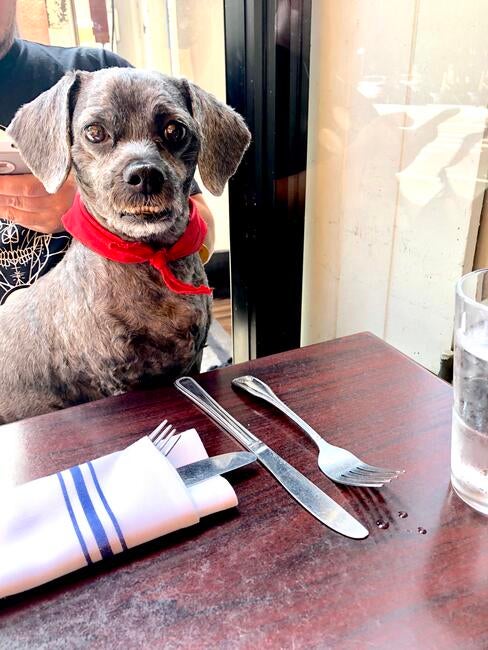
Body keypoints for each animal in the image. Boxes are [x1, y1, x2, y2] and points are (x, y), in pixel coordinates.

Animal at [0, 68, 250, 423]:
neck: (150, 257)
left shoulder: (192, 360)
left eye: (175, 129)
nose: (145, 174)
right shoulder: (119, 379)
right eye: (94, 132)